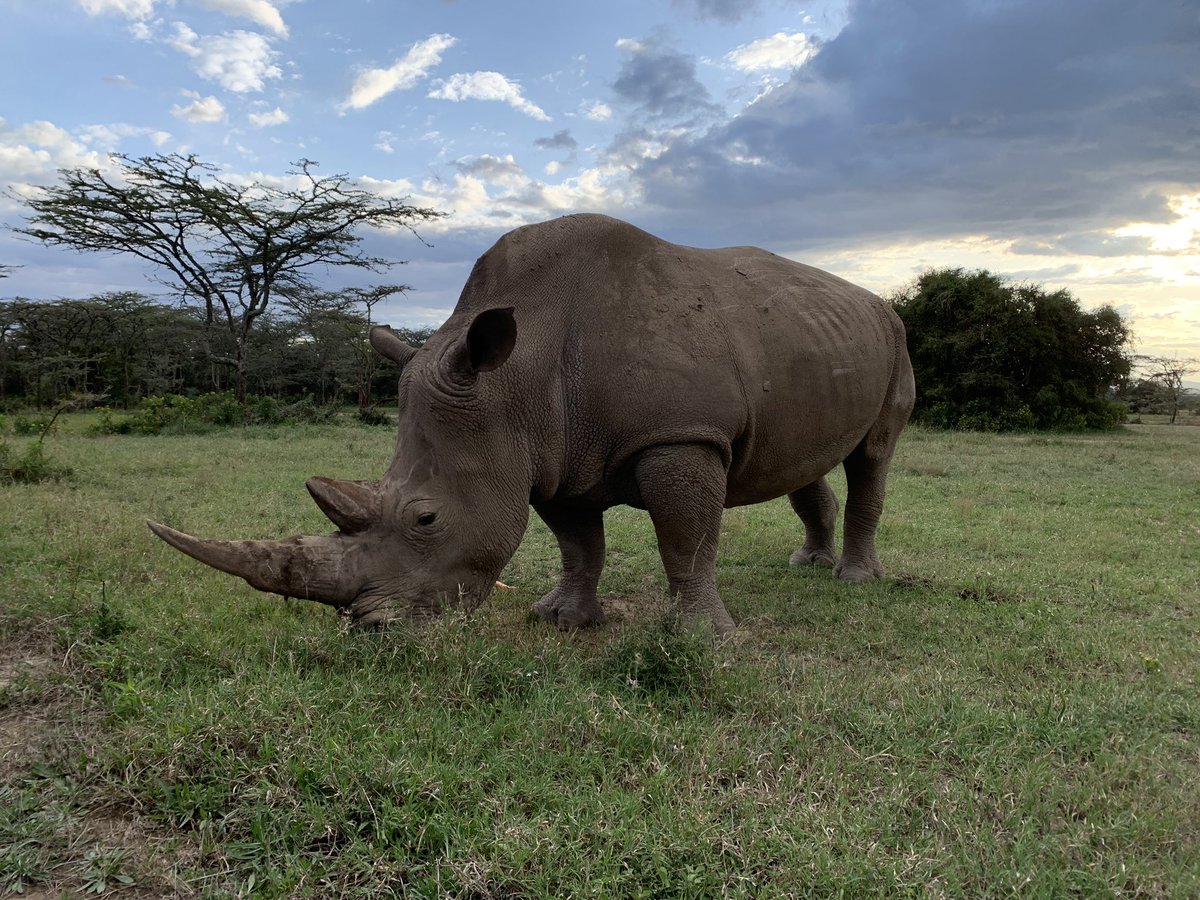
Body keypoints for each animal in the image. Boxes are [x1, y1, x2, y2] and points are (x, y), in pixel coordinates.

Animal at [149, 214, 915, 637]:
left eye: (425, 519)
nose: (371, 632)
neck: (516, 378)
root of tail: (875, 298)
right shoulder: (551, 452)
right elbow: (579, 544)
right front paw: (560, 621)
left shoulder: (681, 434)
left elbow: (687, 542)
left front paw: (704, 642)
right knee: (806, 457)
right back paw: (807, 565)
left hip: (894, 337)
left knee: (873, 455)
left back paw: (855, 582)